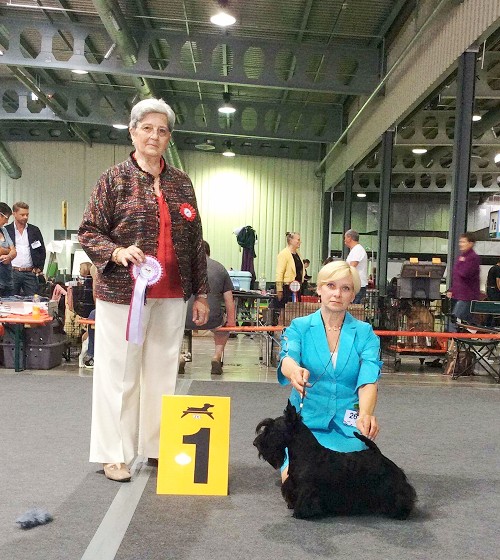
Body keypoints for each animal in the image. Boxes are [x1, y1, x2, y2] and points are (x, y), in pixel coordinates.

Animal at [254, 402, 417, 520]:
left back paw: (401, 513)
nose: (255, 443)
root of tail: (377, 453)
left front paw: (300, 513)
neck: (306, 453)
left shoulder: (308, 489)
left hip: (391, 486)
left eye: (272, 430)